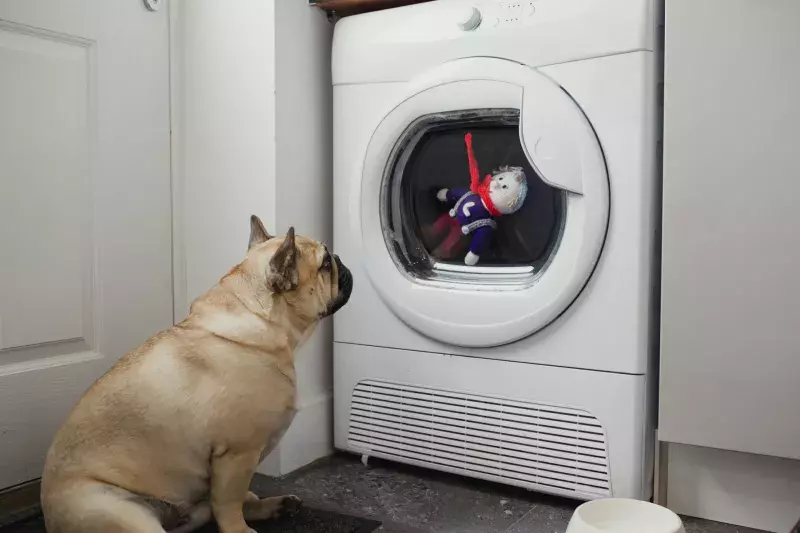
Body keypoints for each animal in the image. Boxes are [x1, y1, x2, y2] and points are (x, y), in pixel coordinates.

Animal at [41, 215, 354, 532]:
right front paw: (239, 530)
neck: (258, 317)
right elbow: (229, 504)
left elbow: (236, 498)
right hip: (126, 515)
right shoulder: (237, 455)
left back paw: (276, 505)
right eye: (325, 263)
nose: (340, 258)